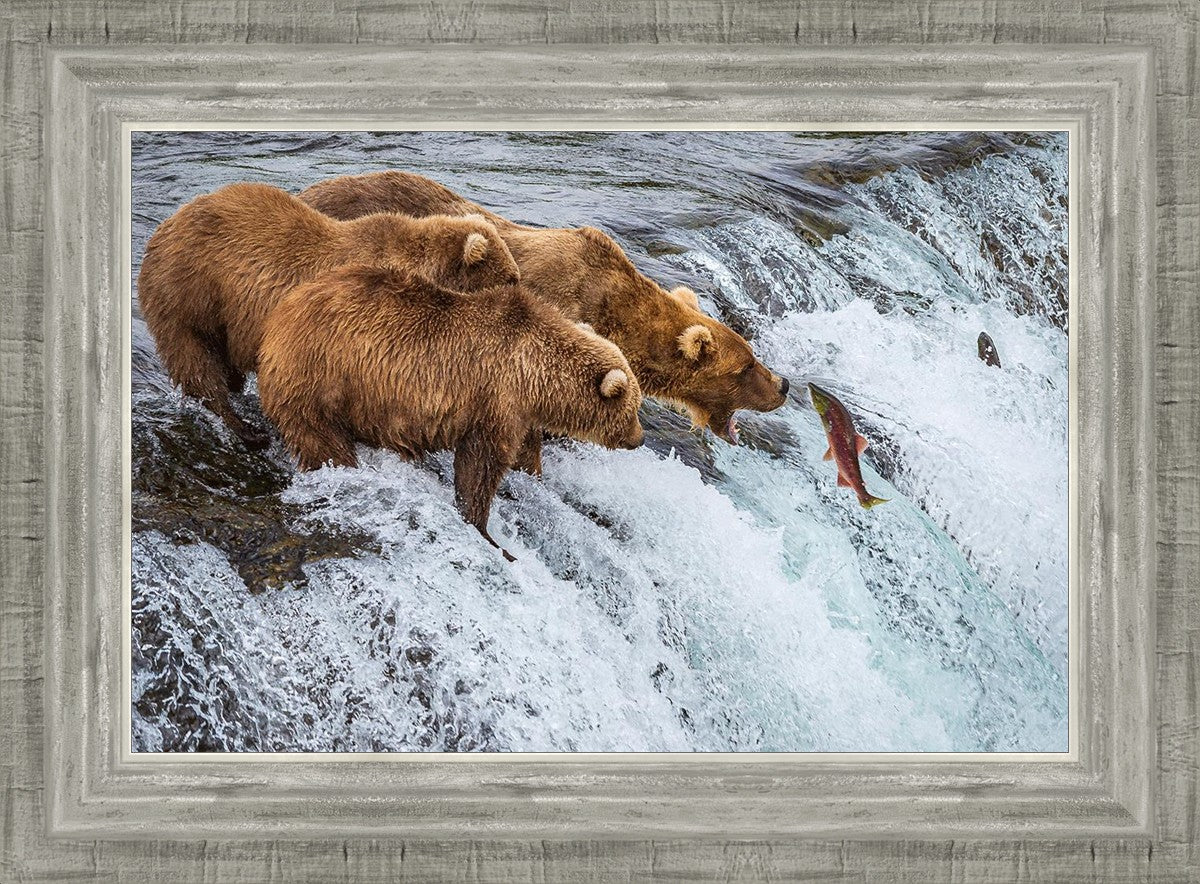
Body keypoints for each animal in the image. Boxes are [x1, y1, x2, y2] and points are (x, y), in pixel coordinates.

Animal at [137, 181, 520, 448]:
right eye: (511, 277)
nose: (521, 291)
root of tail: (164, 226)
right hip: (190, 293)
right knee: (196, 362)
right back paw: (245, 429)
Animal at [257, 263, 645, 560]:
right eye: (633, 409)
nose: (639, 439)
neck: (535, 374)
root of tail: (278, 317)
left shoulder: (519, 412)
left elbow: (523, 453)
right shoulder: (495, 398)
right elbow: (480, 466)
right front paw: (488, 533)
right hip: (320, 378)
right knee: (322, 440)